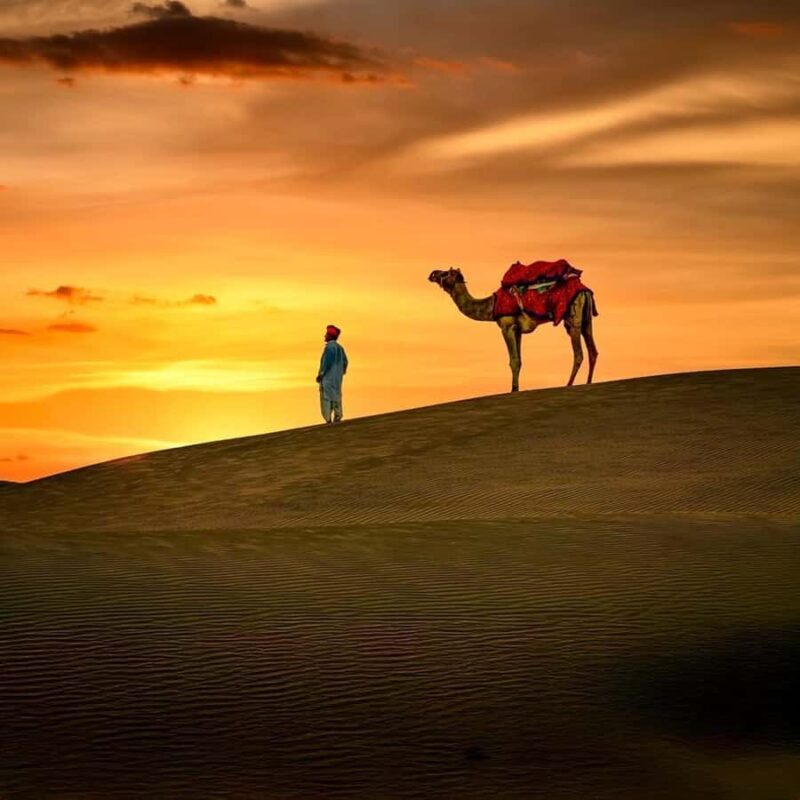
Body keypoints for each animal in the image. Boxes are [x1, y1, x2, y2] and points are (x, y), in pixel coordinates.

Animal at [428, 267, 598, 392]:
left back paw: (569, 384)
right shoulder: (517, 329)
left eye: (446, 272)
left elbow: (514, 361)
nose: (432, 273)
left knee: (578, 353)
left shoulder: (507, 326)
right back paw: (588, 382)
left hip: (573, 317)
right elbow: (519, 360)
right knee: (593, 350)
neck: (492, 306)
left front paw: (513, 390)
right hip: (586, 318)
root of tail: (584, 289)